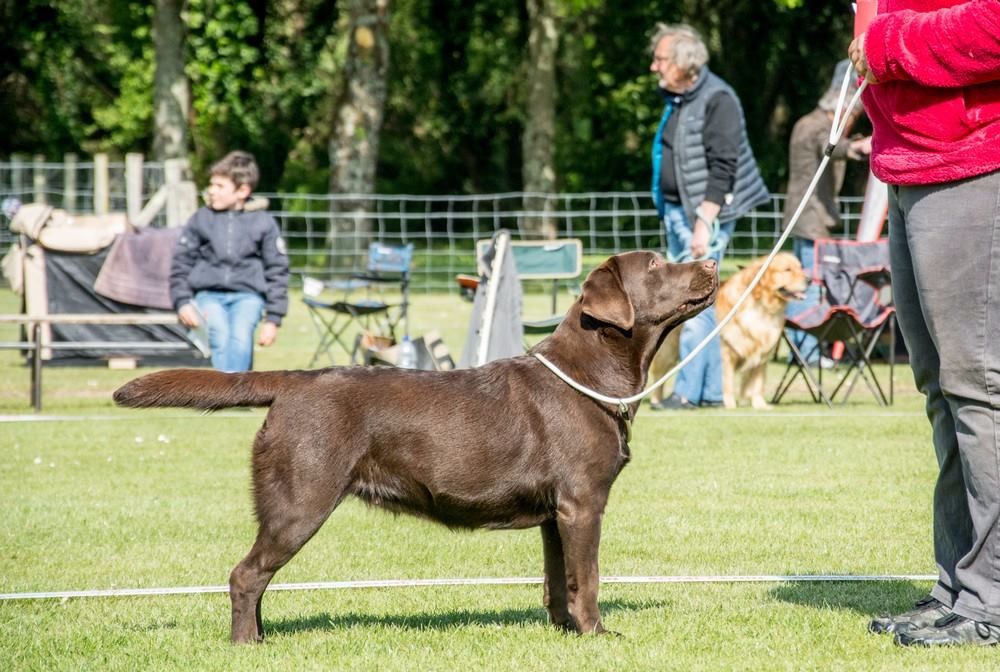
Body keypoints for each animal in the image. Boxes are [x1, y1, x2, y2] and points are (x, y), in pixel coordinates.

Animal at [648, 252, 804, 410]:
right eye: (787, 270)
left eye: (800, 267)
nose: (808, 280)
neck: (761, 306)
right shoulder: (726, 353)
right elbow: (727, 382)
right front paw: (729, 404)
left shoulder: (762, 353)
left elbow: (757, 382)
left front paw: (760, 405)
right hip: (668, 351)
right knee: (659, 376)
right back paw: (657, 402)